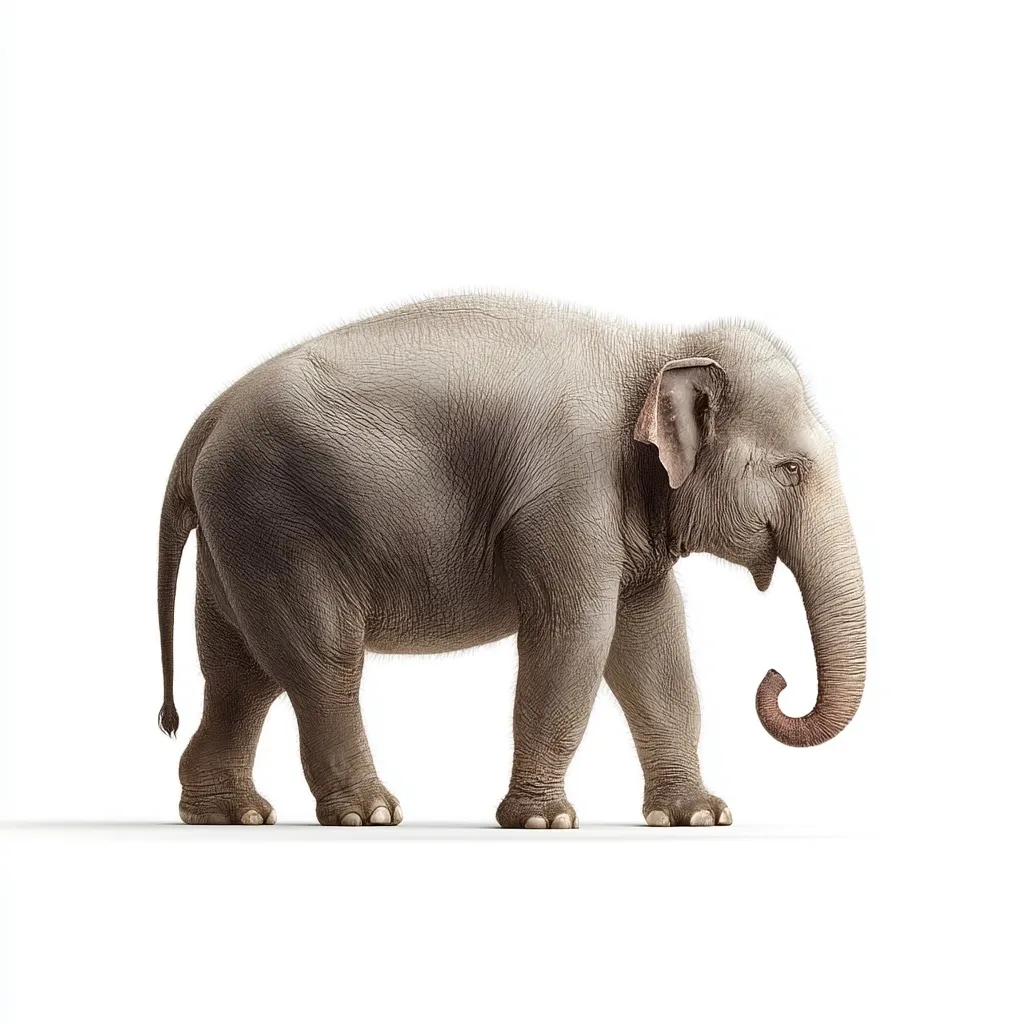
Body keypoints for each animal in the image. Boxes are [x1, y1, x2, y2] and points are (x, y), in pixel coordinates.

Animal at [157, 293, 865, 828]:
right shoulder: (570, 494)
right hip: (279, 520)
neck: (651, 349)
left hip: (238, 536)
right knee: (322, 662)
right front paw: (545, 821)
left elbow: (655, 647)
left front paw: (700, 817)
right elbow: (574, 638)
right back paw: (370, 814)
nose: (775, 678)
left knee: (240, 674)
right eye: (792, 469)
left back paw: (229, 813)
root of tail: (208, 418)